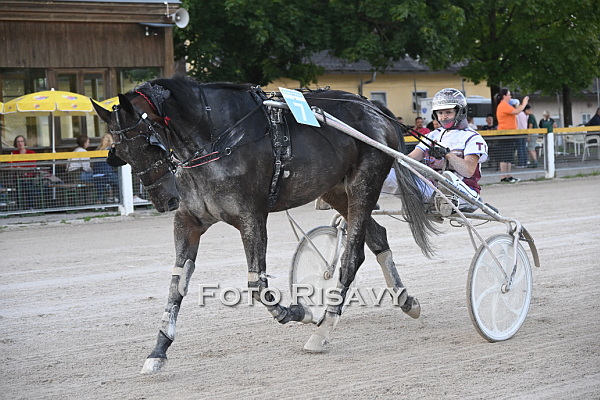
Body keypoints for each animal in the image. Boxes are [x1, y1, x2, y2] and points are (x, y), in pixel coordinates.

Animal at [92, 75, 437, 374]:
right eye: (121, 152)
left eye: (150, 144)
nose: (164, 199)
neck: (217, 138)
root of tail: (374, 109)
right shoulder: (189, 220)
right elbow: (178, 282)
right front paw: (158, 350)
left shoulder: (252, 217)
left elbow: (257, 284)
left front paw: (298, 311)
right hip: (336, 190)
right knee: (377, 235)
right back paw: (406, 301)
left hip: (364, 184)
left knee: (352, 256)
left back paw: (323, 330)